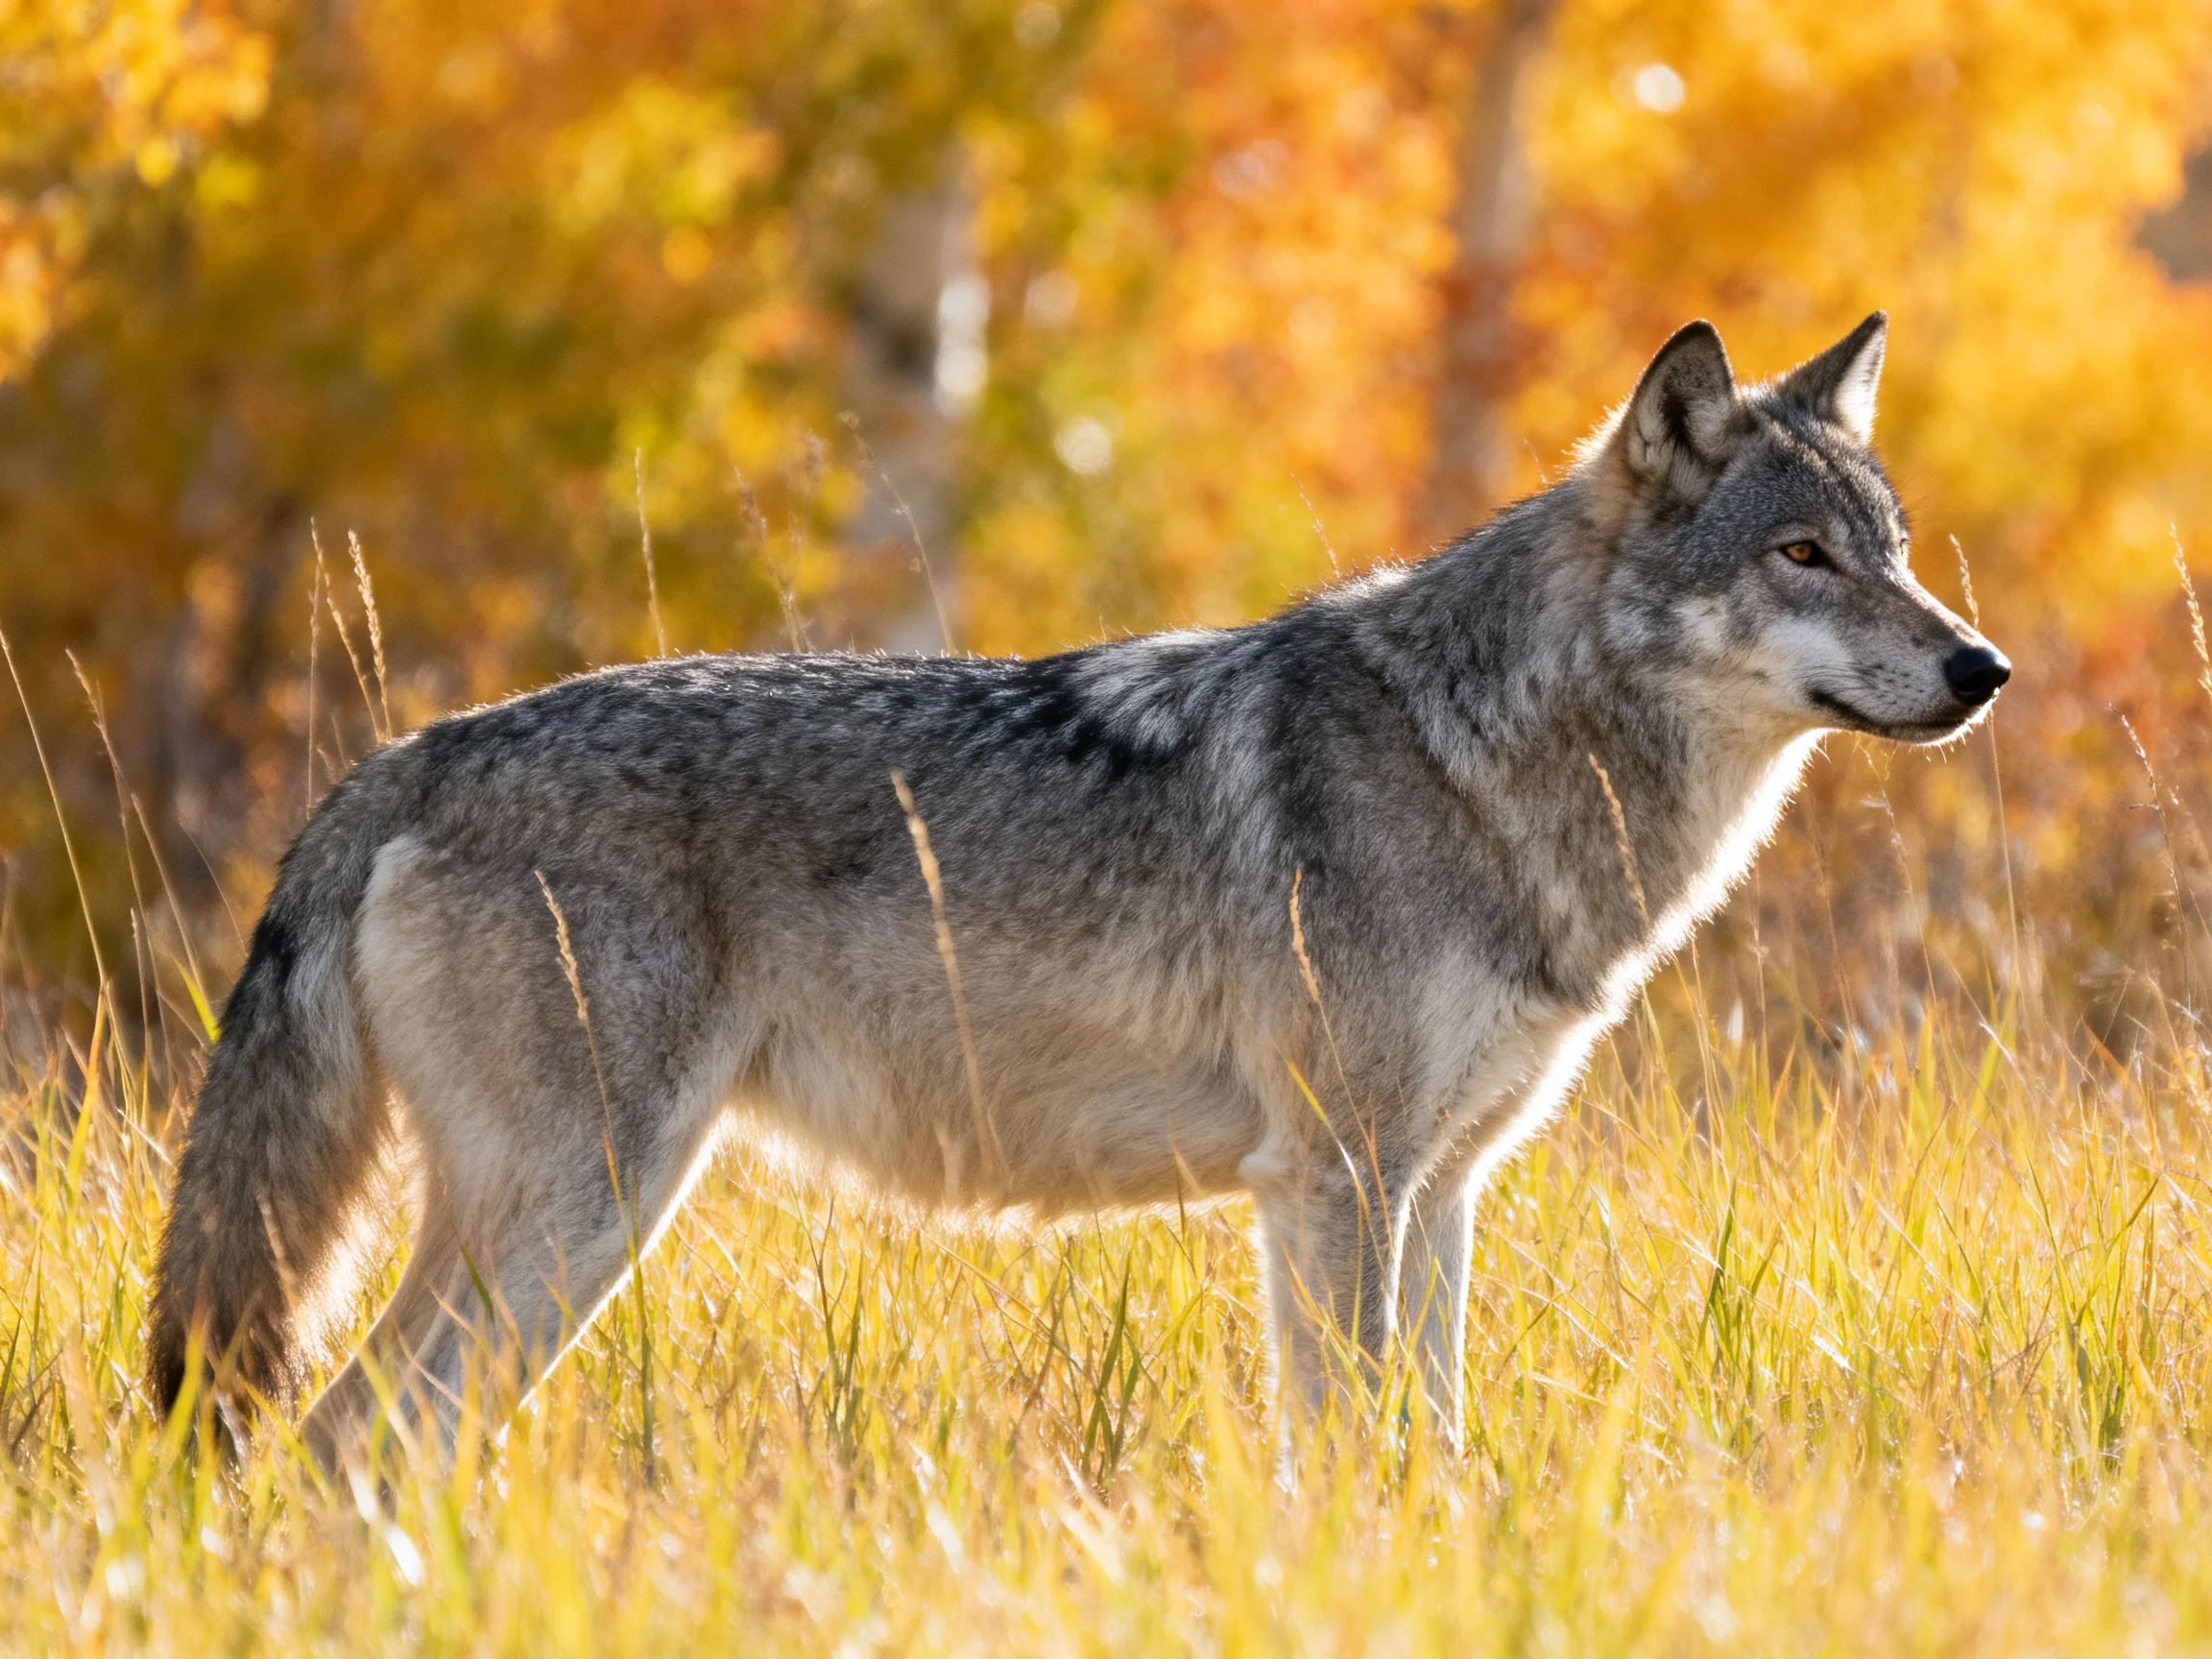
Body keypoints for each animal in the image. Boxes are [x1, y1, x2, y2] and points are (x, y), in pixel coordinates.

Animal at [147, 314, 2008, 1464]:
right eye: (1800, 556)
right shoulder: (1335, 1180)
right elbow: (1352, 1453)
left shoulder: (1441, 1188)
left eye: (1897, 551)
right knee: (346, 1439)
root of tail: (408, 756)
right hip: (580, 1214)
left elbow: (1429, 1443)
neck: (1490, 753)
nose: (1981, 668)